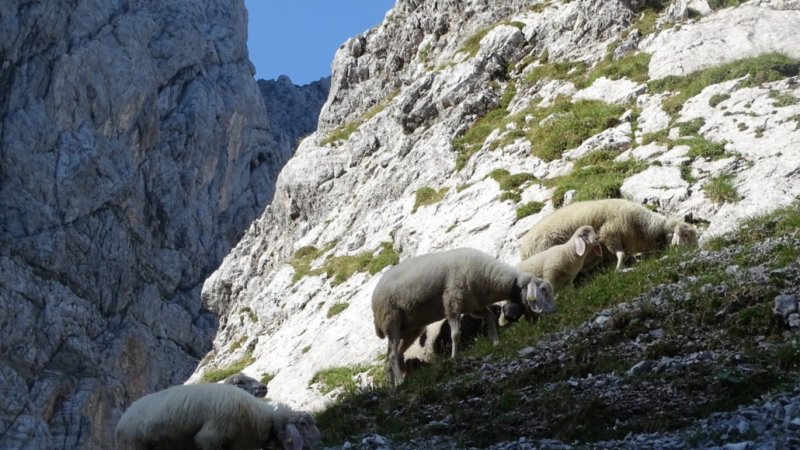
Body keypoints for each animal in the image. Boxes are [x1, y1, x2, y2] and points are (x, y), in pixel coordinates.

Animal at [370, 246, 552, 386]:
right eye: (543, 291)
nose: (551, 313)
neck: (488, 280)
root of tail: (375, 295)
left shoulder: (472, 306)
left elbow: (489, 318)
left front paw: (495, 342)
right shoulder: (452, 302)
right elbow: (455, 334)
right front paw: (454, 357)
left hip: (409, 329)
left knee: (389, 358)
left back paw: (392, 387)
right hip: (391, 321)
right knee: (393, 355)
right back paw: (400, 381)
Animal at [520, 198, 696, 270]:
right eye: (687, 236)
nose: (695, 251)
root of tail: (524, 252)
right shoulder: (609, 235)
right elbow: (621, 255)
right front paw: (618, 269)